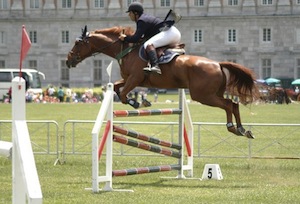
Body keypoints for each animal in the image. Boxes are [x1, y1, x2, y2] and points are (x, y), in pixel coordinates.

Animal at [67, 25, 258, 139]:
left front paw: (136, 103)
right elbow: (116, 88)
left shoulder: (135, 78)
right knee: (234, 104)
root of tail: (218, 64)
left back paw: (232, 127)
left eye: (77, 43)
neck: (127, 50)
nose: (69, 61)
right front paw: (141, 101)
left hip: (203, 96)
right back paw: (243, 129)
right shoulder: (129, 79)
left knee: (228, 104)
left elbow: (122, 94)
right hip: (212, 93)